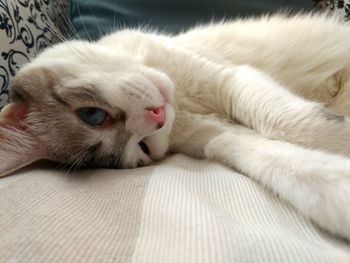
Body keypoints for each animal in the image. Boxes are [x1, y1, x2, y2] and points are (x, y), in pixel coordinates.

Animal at [0, 13, 350, 242]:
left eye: (92, 115)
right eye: (141, 148)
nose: (157, 117)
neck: (180, 102)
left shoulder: (229, 78)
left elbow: (285, 120)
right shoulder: (217, 138)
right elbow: (282, 163)